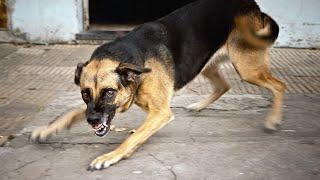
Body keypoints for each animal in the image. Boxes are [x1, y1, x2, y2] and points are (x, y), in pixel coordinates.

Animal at [31, 0, 286, 170]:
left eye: (109, 92)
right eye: (85, 93)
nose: (92, 121)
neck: (135, 65)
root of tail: (250, 3)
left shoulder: (160, 113)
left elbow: (131, 138)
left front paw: (110, 156)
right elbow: (71, 113)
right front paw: (47, 129)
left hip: (247, 68)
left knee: (279, 85)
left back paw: (273, 120)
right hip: (204, 64)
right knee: (224, 86)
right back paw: (198, 106)